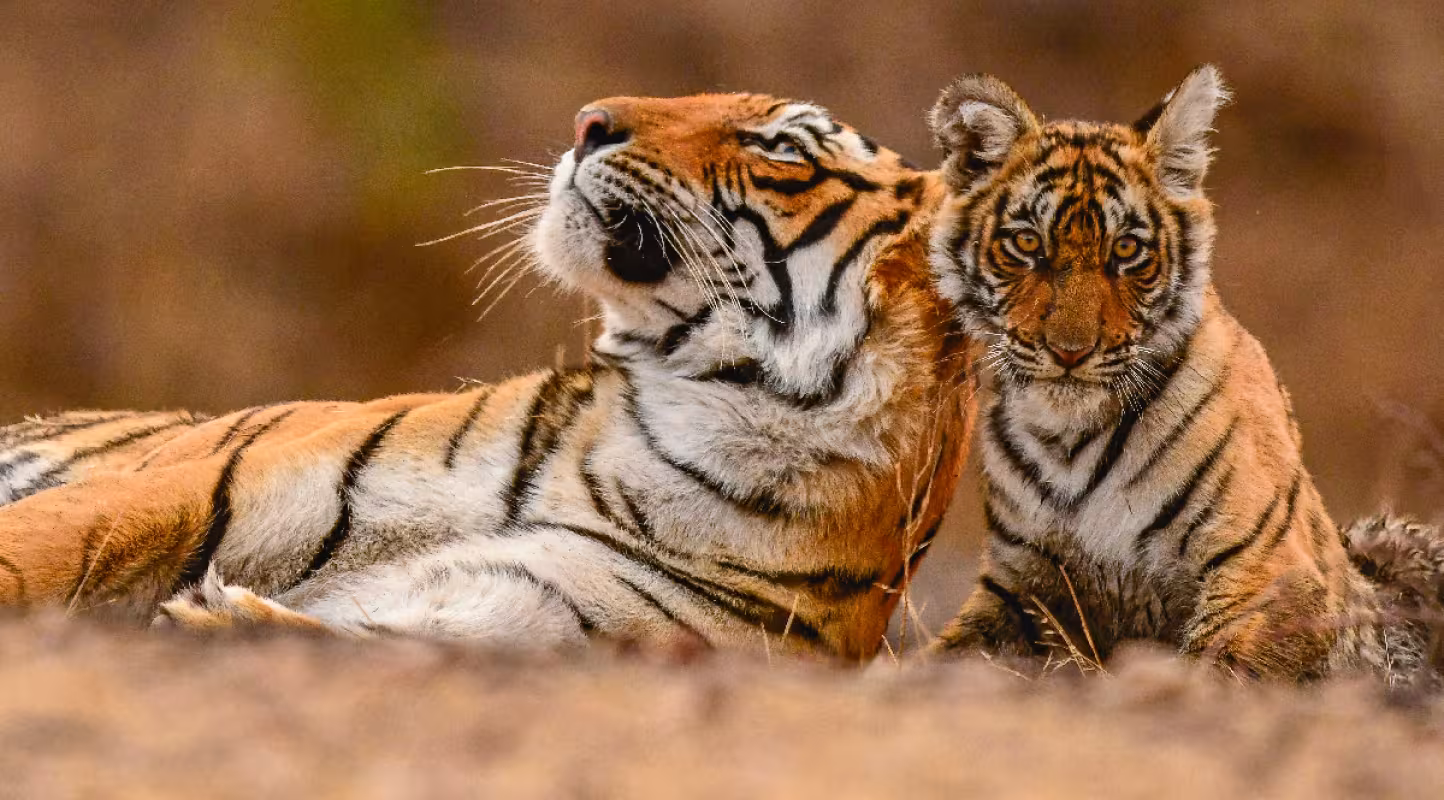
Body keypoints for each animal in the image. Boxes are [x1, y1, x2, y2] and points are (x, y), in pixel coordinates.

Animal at [0, 93, 973, 661]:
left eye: (779, 148)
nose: (588, 122)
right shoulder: (211, 488)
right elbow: (36, 545)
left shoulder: (525, 613)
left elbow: (370, 641)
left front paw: (224, 621)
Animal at [922, 65, 1430, 681]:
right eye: (1026, 243)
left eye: (1126, 249)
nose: (1070, 352)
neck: (1068, 439)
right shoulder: (1019, 584)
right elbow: (947, 654)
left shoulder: (1269, 569)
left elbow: (1219, 664)